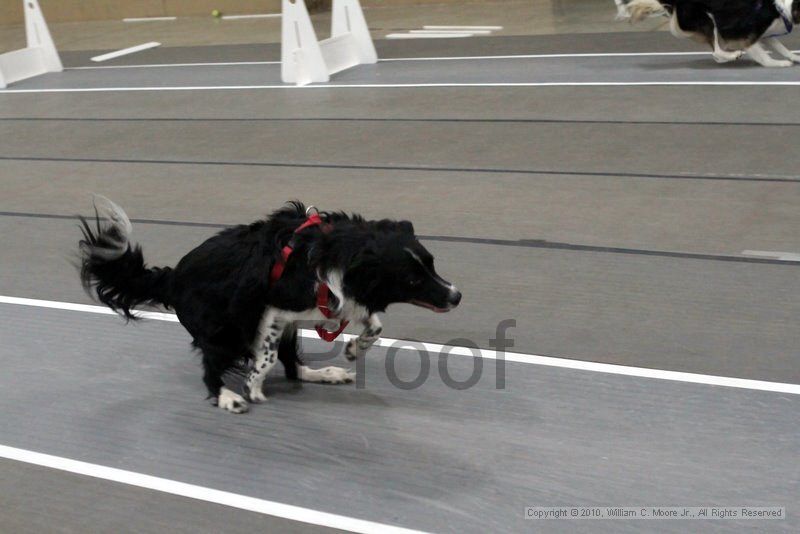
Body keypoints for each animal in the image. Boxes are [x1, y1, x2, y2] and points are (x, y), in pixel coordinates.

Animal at [79, 199, 462, 416]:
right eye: (411, 280)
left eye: (431, 262)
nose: (456, 295)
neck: (339, 251)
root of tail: (171, 277)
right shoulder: (274, 310)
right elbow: (265, 358)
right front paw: (253, 387)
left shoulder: (333, 301)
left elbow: (374, 324)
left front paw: (355, 348)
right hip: (226, 331)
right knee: (213, 368)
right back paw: (226, 397)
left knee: (294, 367)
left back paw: (326, 373)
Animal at [620, 0, 800, 67]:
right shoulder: (744, 34)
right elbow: (762, 56)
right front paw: (778, 63)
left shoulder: (765, 35)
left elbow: (782, 48)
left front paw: (794, 57)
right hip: (707, 19)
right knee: (716, 51)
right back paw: (732, 55)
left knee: (716, 52)